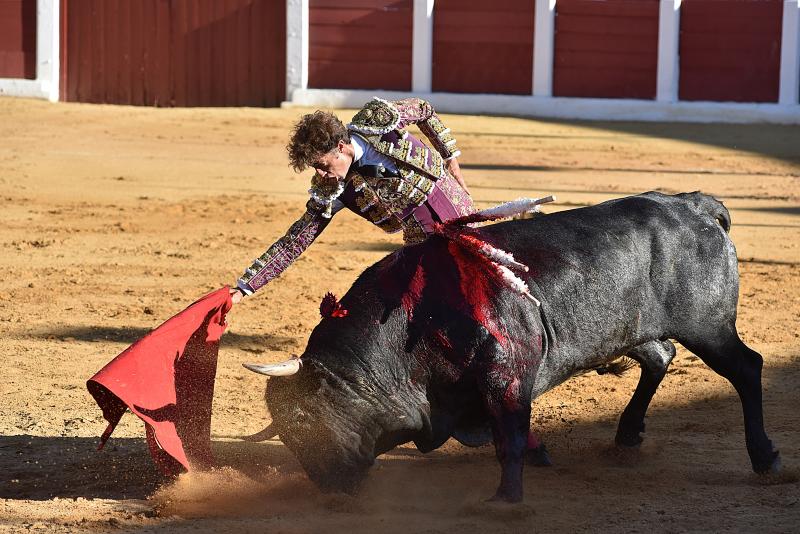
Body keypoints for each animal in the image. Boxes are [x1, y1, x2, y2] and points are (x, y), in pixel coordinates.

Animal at [245, 195, 780, 504]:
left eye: (307, 418)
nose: (332, 488)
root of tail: (694, 206)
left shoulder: (506, 376)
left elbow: (511, 437)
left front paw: (506, 499)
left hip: (708, 327)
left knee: (746, 369)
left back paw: (766, 459)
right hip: (633, 329)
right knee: (660, 357)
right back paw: (627, 434)